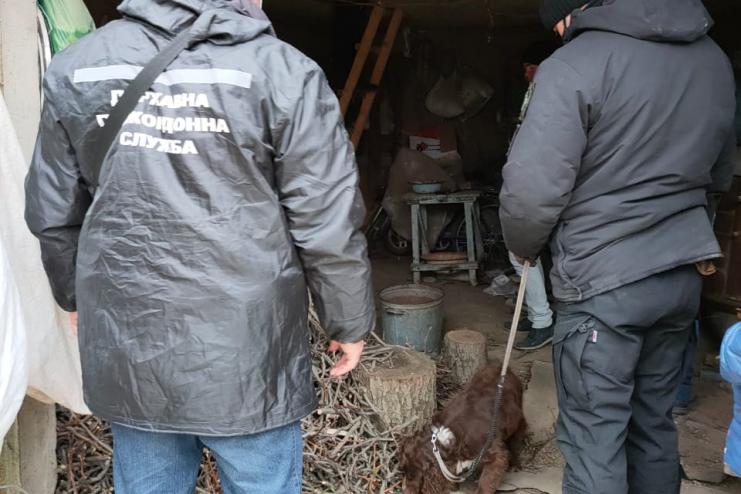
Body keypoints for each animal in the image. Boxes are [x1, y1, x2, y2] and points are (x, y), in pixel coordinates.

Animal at [398, 362, 528, 494]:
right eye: (402, 470)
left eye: (413, 476)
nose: (403, 489)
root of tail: (501, 366)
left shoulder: (493, 453)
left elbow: (487, 479)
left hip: (518, 417)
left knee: (516, 440)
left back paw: (515, 464)